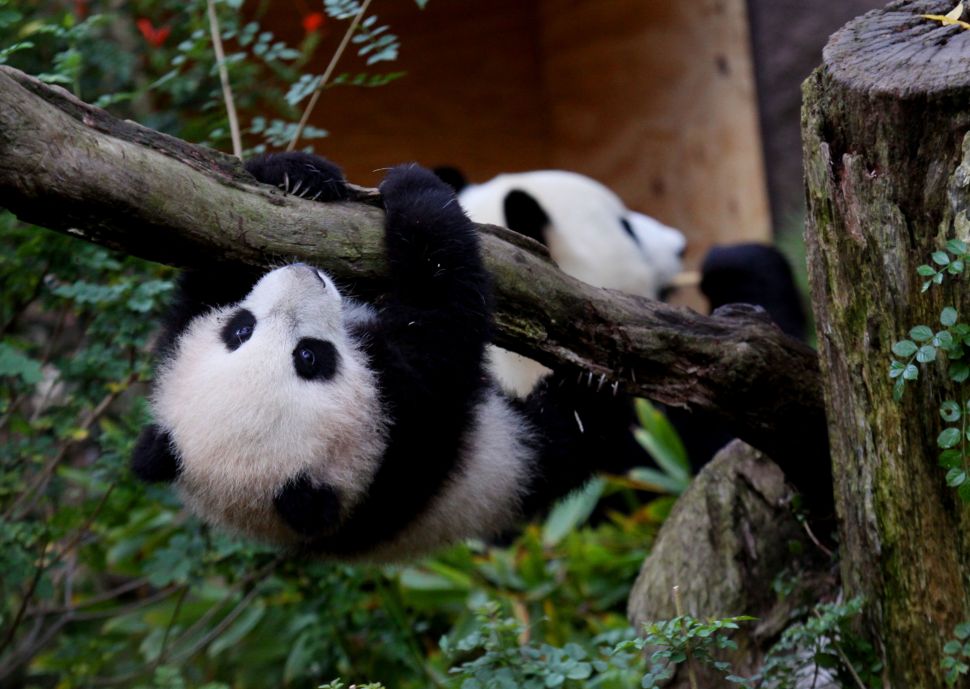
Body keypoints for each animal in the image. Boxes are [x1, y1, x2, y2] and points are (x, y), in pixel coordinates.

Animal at [132, 153, 632, 560]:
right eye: (310, 358)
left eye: (239, 331)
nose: (303, 274)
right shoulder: (407, 420)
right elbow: (444, 316)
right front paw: (417, 192)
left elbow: (213, 256)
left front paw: (298, 174)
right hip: (510, 462)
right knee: (568, 439)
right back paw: (594, 393)